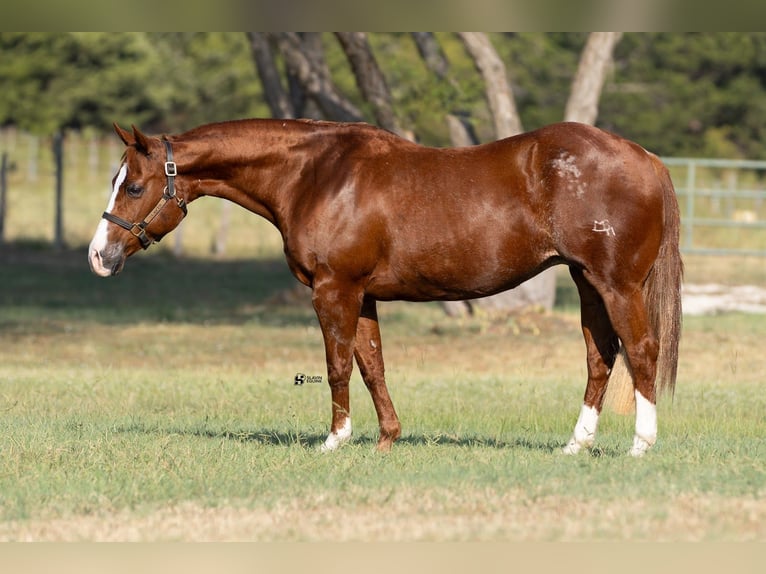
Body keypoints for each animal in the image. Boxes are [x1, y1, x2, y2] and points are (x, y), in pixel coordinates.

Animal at [88, 119, 682, 457]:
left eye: (133, 186)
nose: (98, 255)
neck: (317, 174)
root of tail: (645, 157)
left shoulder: (334, 290)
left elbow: (337, 365)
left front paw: (334, 440)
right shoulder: (363, 294)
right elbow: (372, 363)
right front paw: (387, 438)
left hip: (616, 284)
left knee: (641, 350)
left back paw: (641, 445)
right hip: (586, 282)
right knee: (601, 356)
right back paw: (575, 446)